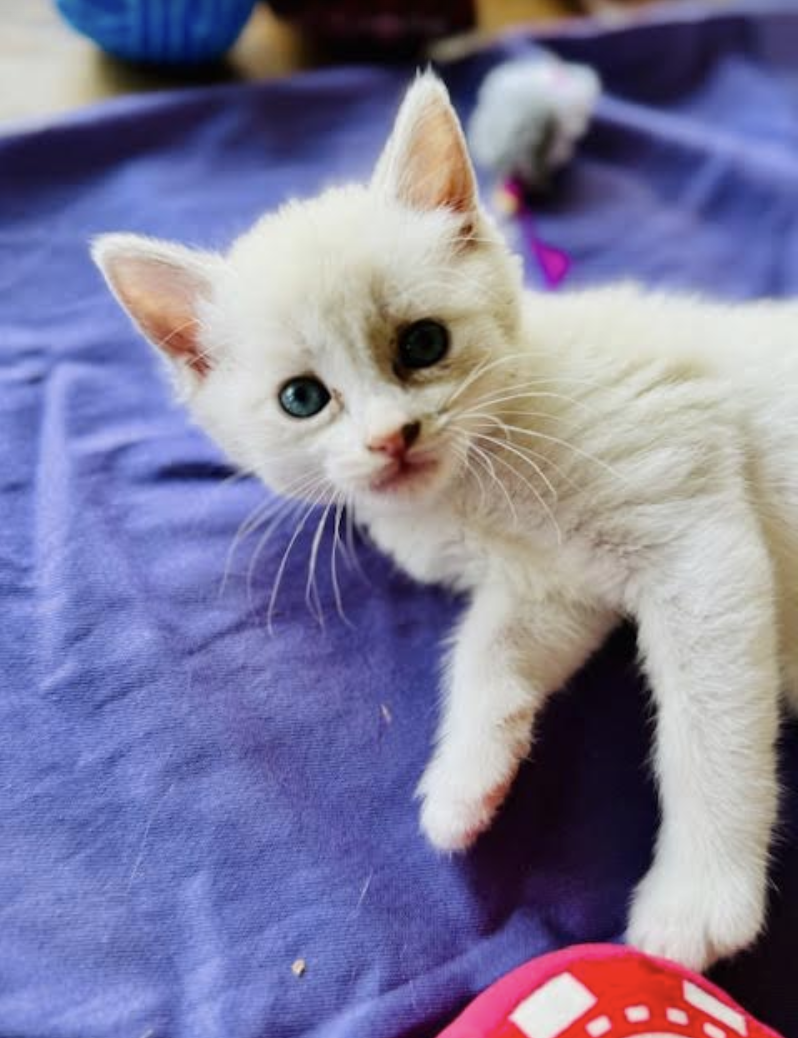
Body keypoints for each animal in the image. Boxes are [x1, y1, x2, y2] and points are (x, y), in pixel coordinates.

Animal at [90, 73, 792, 971]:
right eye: (302, 398)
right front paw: (466, 784)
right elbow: (486, 650)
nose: (393, 437)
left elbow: (706, 728)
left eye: (423, 344)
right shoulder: (555, 584)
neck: (477, 490)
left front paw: (696, 903)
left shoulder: (696, 533)